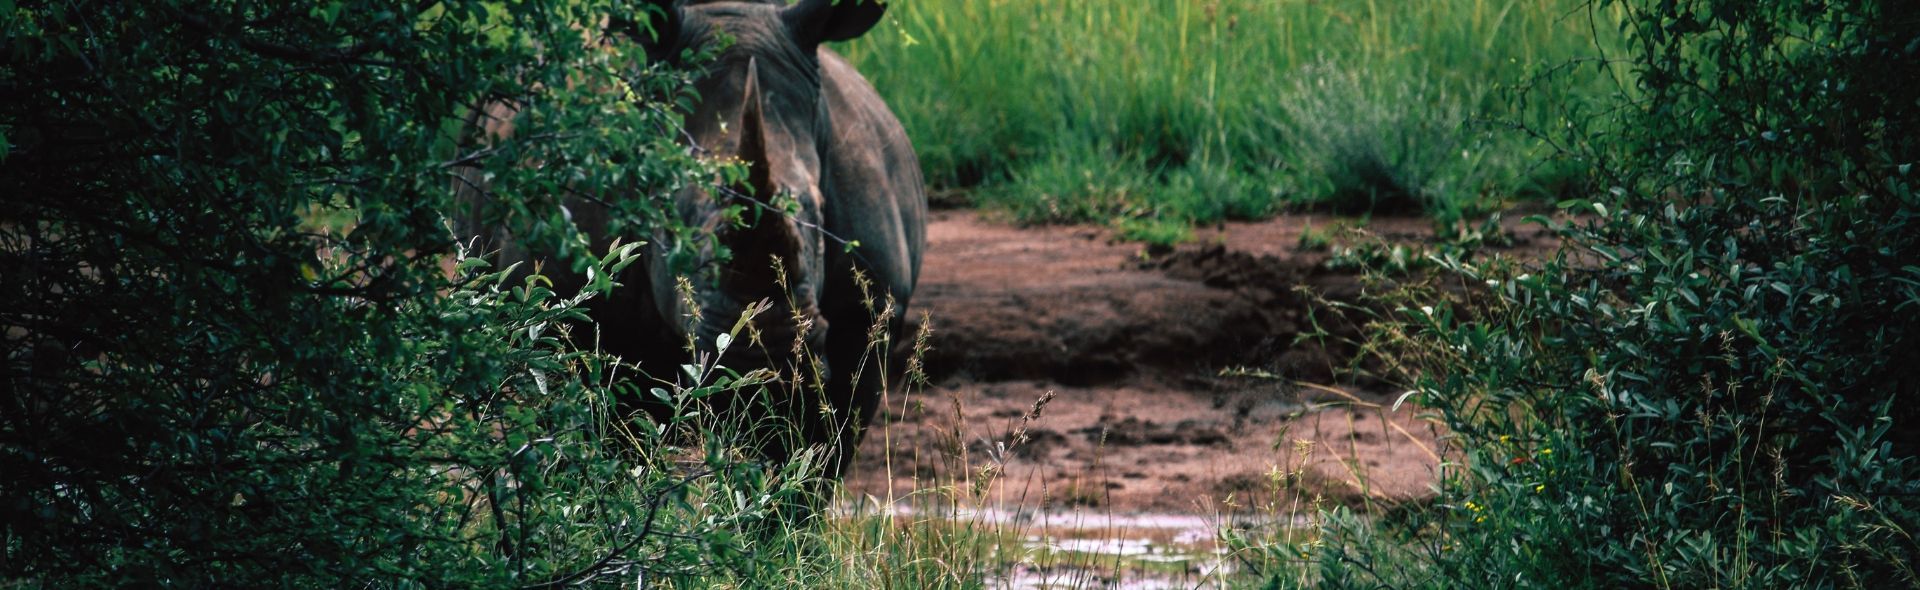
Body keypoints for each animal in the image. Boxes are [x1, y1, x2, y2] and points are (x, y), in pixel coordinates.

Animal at [455, 0, 925, 477]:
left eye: (816, 208)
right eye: (672, 221)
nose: (763, 360)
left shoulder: (866, 311)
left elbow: (817, 455)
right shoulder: (563, 306)